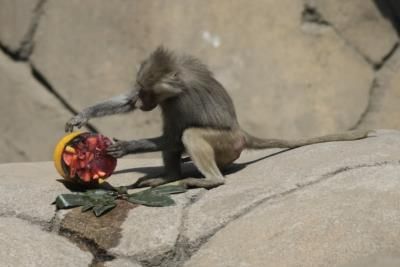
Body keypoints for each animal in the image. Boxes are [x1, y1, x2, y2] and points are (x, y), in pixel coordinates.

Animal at [65, 46, 368, 189]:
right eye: (140, 90)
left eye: (147, 92)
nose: (141, 102)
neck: (176, 81)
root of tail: (241, 132)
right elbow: (125, 105)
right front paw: (81, 116)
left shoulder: (180, 102)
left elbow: (173, 137)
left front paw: (125, 147)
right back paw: (168, 177)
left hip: (228, 145)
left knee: (189, 134)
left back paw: (209, 180)